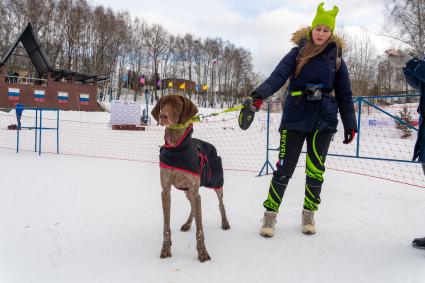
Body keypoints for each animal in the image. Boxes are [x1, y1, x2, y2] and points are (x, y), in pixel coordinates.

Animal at [152, 94, 230, 262]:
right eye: (162, 104)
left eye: (176, 104)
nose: (163, 116)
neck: (176, 148)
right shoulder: (166, 191)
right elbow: (166, 227)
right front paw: (166, 249)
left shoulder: (195, 190)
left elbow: (200, 230)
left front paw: (202, 253)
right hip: (187, 191)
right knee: (193, 209)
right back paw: (187, 224)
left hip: (216, 183)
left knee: (221, 204)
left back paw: (225, 222)